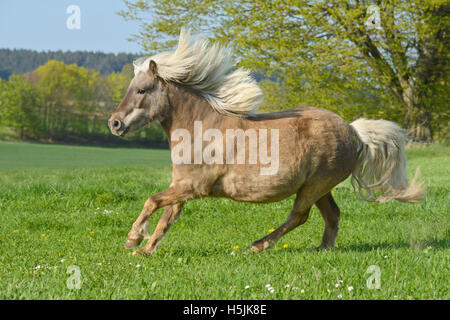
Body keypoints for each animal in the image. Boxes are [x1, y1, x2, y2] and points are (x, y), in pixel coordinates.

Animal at [108, 29, 422, 255]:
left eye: (141, 90)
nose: (114, 123)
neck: (202, 130)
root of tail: (353, 130)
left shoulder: (193, 187)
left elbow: (152, 201)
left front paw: (132, 239)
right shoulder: (182, 187)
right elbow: (166, 217)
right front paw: (144, 250)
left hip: (314, 186)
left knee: (299, 216)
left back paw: (258, 246)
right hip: (320, 187)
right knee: (332, 215)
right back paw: (322, 249)